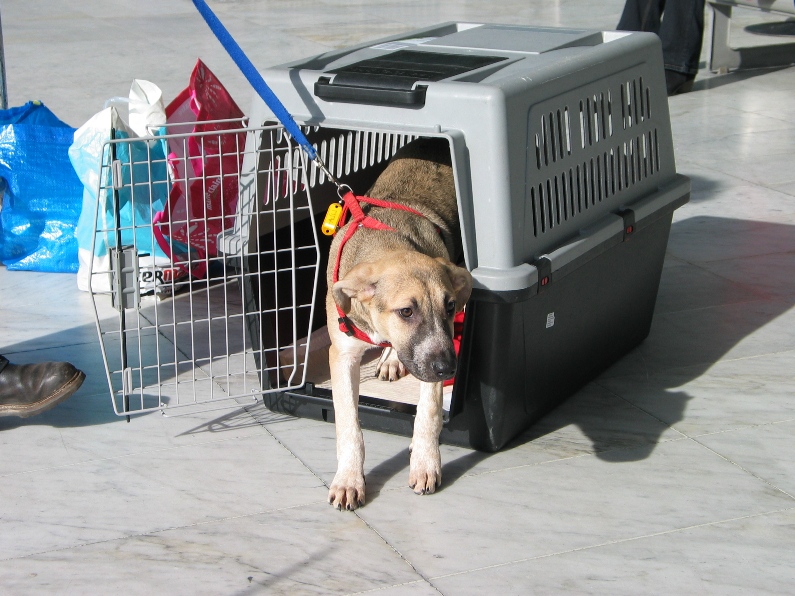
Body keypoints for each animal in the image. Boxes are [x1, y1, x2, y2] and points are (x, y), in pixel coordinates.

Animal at [324, 137, 470, 510]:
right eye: (406, 312)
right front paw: (349, 480)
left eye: (450, 307)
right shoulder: (342, 356)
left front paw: (425, 463)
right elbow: (349, 424)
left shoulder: (432, 358)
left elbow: (428, 412)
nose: (449, 368)